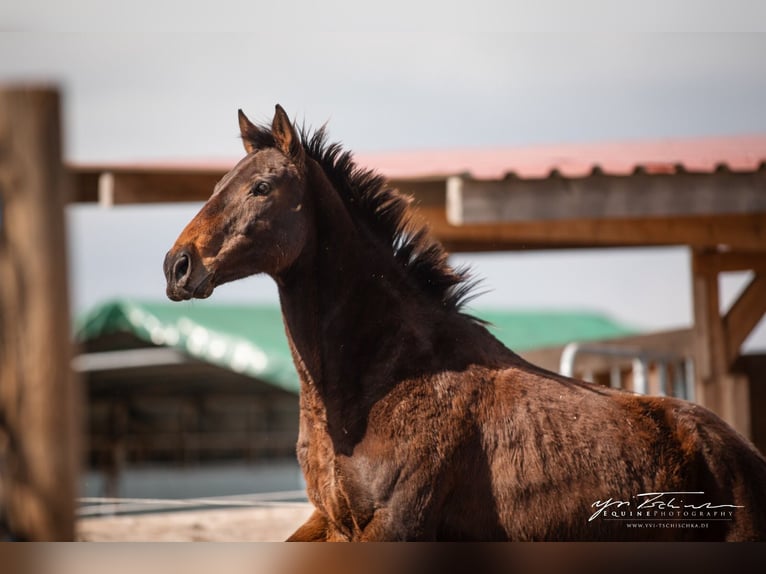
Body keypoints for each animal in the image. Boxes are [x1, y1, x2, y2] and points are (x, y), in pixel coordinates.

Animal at [164, 106, 766, 544]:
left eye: (262, 188)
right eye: (218, 185)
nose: (177, 266)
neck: (381, 383)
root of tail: (744, 455)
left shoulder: (394, 527)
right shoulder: (330, 523)